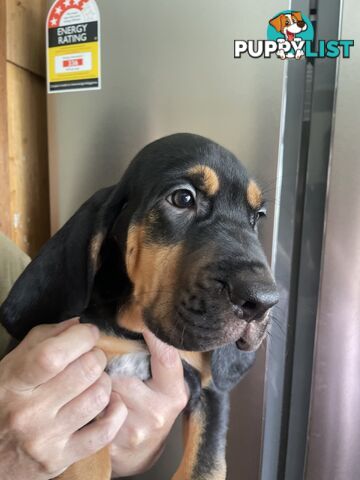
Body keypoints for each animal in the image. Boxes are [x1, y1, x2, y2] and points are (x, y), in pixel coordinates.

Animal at [0, 132, 278, 480]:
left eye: (257, 217)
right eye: (183, 198)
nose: (262, 301)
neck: (135, 333)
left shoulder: (211, 391)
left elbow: (206, 465)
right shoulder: (85, 387)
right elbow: (89, 460)